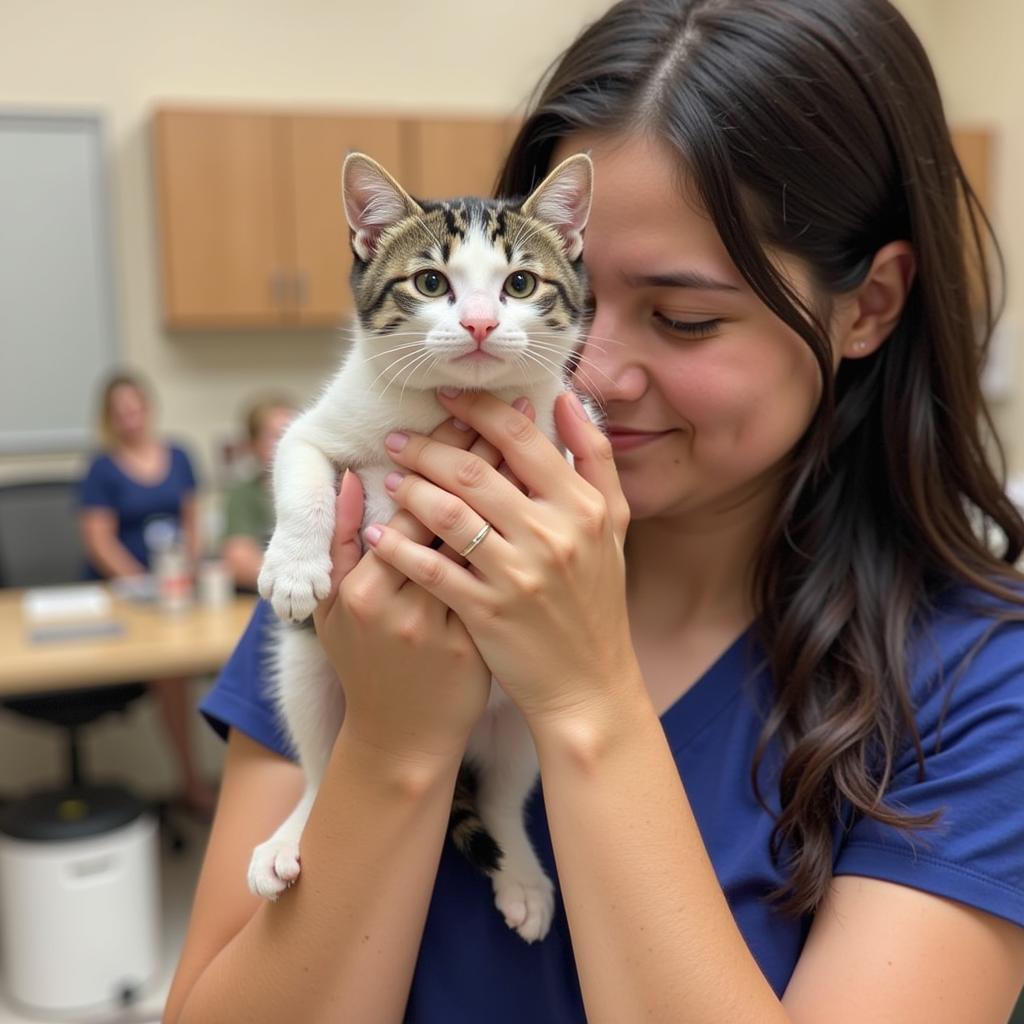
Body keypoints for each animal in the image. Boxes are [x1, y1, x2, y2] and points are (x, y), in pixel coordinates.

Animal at [248, 151, 598, 942]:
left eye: (520, 284)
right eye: (431, 282)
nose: (479, 322)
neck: (442, 408)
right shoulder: (319, 426)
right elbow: (300, 465)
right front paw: (295, 567)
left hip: (517, 714)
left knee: (503, 794)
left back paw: (522, 871)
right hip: (307, 671)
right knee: (322, 763)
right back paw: (292, 832)